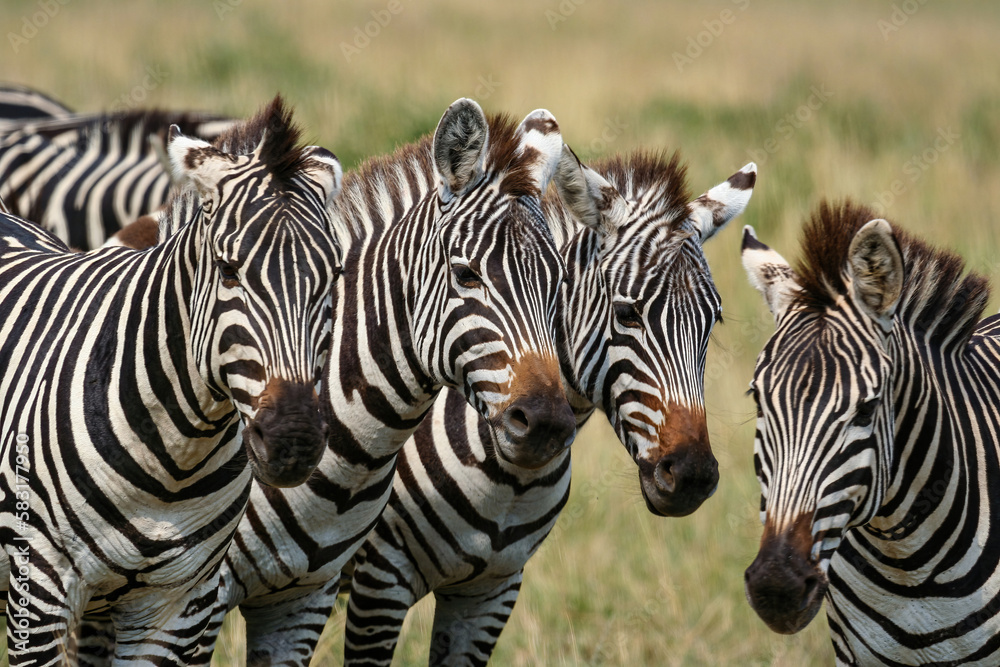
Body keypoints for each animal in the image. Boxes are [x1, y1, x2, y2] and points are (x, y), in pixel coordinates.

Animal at [0, 96, 342, 665]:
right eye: (228, 270)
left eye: (334, 277)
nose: (293, 441)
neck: (174, 459)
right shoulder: (42, 587)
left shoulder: (177, 604)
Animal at [341, 148, 757, 665]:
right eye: (627, 313)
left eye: (712, 320)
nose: (693, 475)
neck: (510, 480)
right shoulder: (379, 576)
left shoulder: (492, 588)